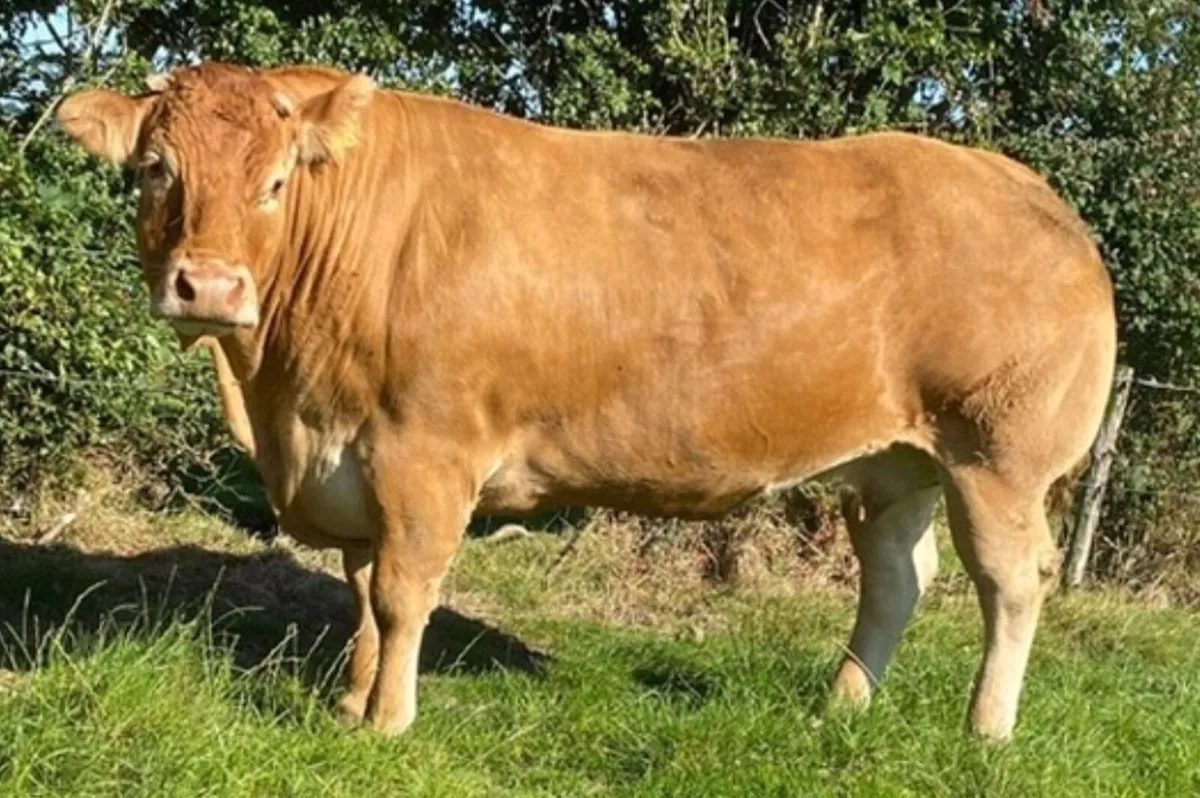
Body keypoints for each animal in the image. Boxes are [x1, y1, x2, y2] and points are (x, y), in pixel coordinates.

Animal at [55, 61, 1116, 743]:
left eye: (275, 182)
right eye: (155, 171)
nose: (209, 286)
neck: (283, 401)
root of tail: (1031, 190)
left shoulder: (423, 451)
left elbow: (402, 594)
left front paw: (387, 724)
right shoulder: (352, 461)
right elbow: (361, 594)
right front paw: (351, 705)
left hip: (998, 457)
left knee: (1011, 582)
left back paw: (986, 730)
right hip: (899, 464)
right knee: (898, 578)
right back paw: (841, 707)